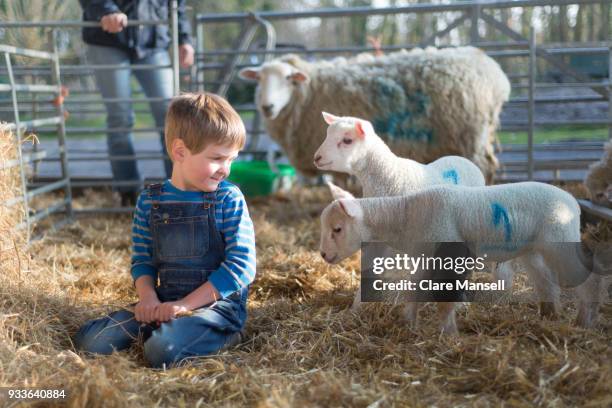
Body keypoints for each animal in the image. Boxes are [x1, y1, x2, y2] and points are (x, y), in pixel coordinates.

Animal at [239, 46, 512, 182]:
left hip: (471, 136)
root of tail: (494, 72)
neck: (307, 94)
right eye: (259, 79)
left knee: (485, 168)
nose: (267, 107)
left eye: (288, 79)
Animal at [320, 183, 604, 334]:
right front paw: (409, 322)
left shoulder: (451, 254)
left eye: (338, 229)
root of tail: (572, 200)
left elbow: (445, 299)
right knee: (547, 282)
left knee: (589, 278)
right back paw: (549, 315)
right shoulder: (425, 256)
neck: (406, 216)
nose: (323, 255)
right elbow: (414, 290)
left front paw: (448, 334)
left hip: (560, 239)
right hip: (534, 249)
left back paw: (585, 320)